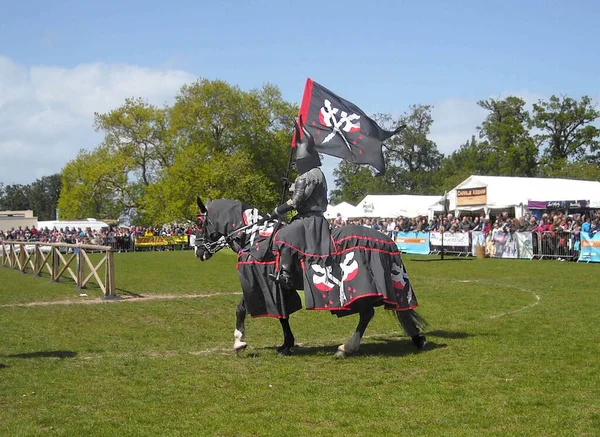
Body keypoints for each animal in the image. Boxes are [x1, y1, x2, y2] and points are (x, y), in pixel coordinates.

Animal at [193, 196, 426, 356]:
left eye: (198, 223)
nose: (198, 251)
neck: (254, 237)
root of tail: (388, 240)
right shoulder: (279, 288)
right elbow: (283, 316)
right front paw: (286, 344)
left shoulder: (261, 283)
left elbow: (242, 308)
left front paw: (239, 342)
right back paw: (417, 338)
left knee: (367, 314)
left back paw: (347, 348)